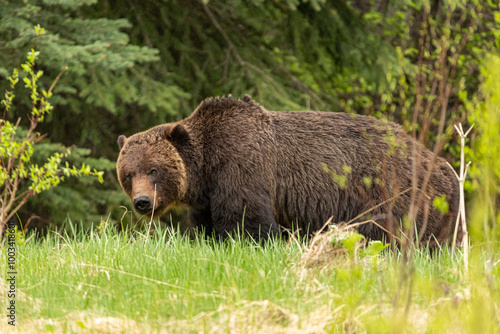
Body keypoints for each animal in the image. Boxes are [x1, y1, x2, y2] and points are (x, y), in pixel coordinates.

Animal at [115, 95, 458, 244]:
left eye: (154, 170)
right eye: (128, 174)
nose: (142, 202)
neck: (205, 169)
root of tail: (441, 163)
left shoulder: (242, 165)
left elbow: (248, 219)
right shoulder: (209, 195)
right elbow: (206, 225)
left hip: (391, 191)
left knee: (388, 232)